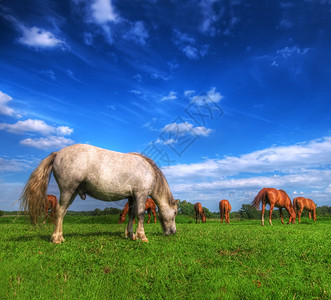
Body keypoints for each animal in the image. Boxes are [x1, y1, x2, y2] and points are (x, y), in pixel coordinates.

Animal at [20, 144, 179, 244]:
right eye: (176, 212)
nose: (173, 232)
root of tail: (58, 153)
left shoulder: (131, 197)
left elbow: (131, 215)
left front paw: (130, 235)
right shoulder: (141, 194)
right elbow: (140, 215)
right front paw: (142, 236)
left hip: (72, 193)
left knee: (63, 212)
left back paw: (60, 236)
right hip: (67, 190)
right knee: (59, 211)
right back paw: (56, 239)